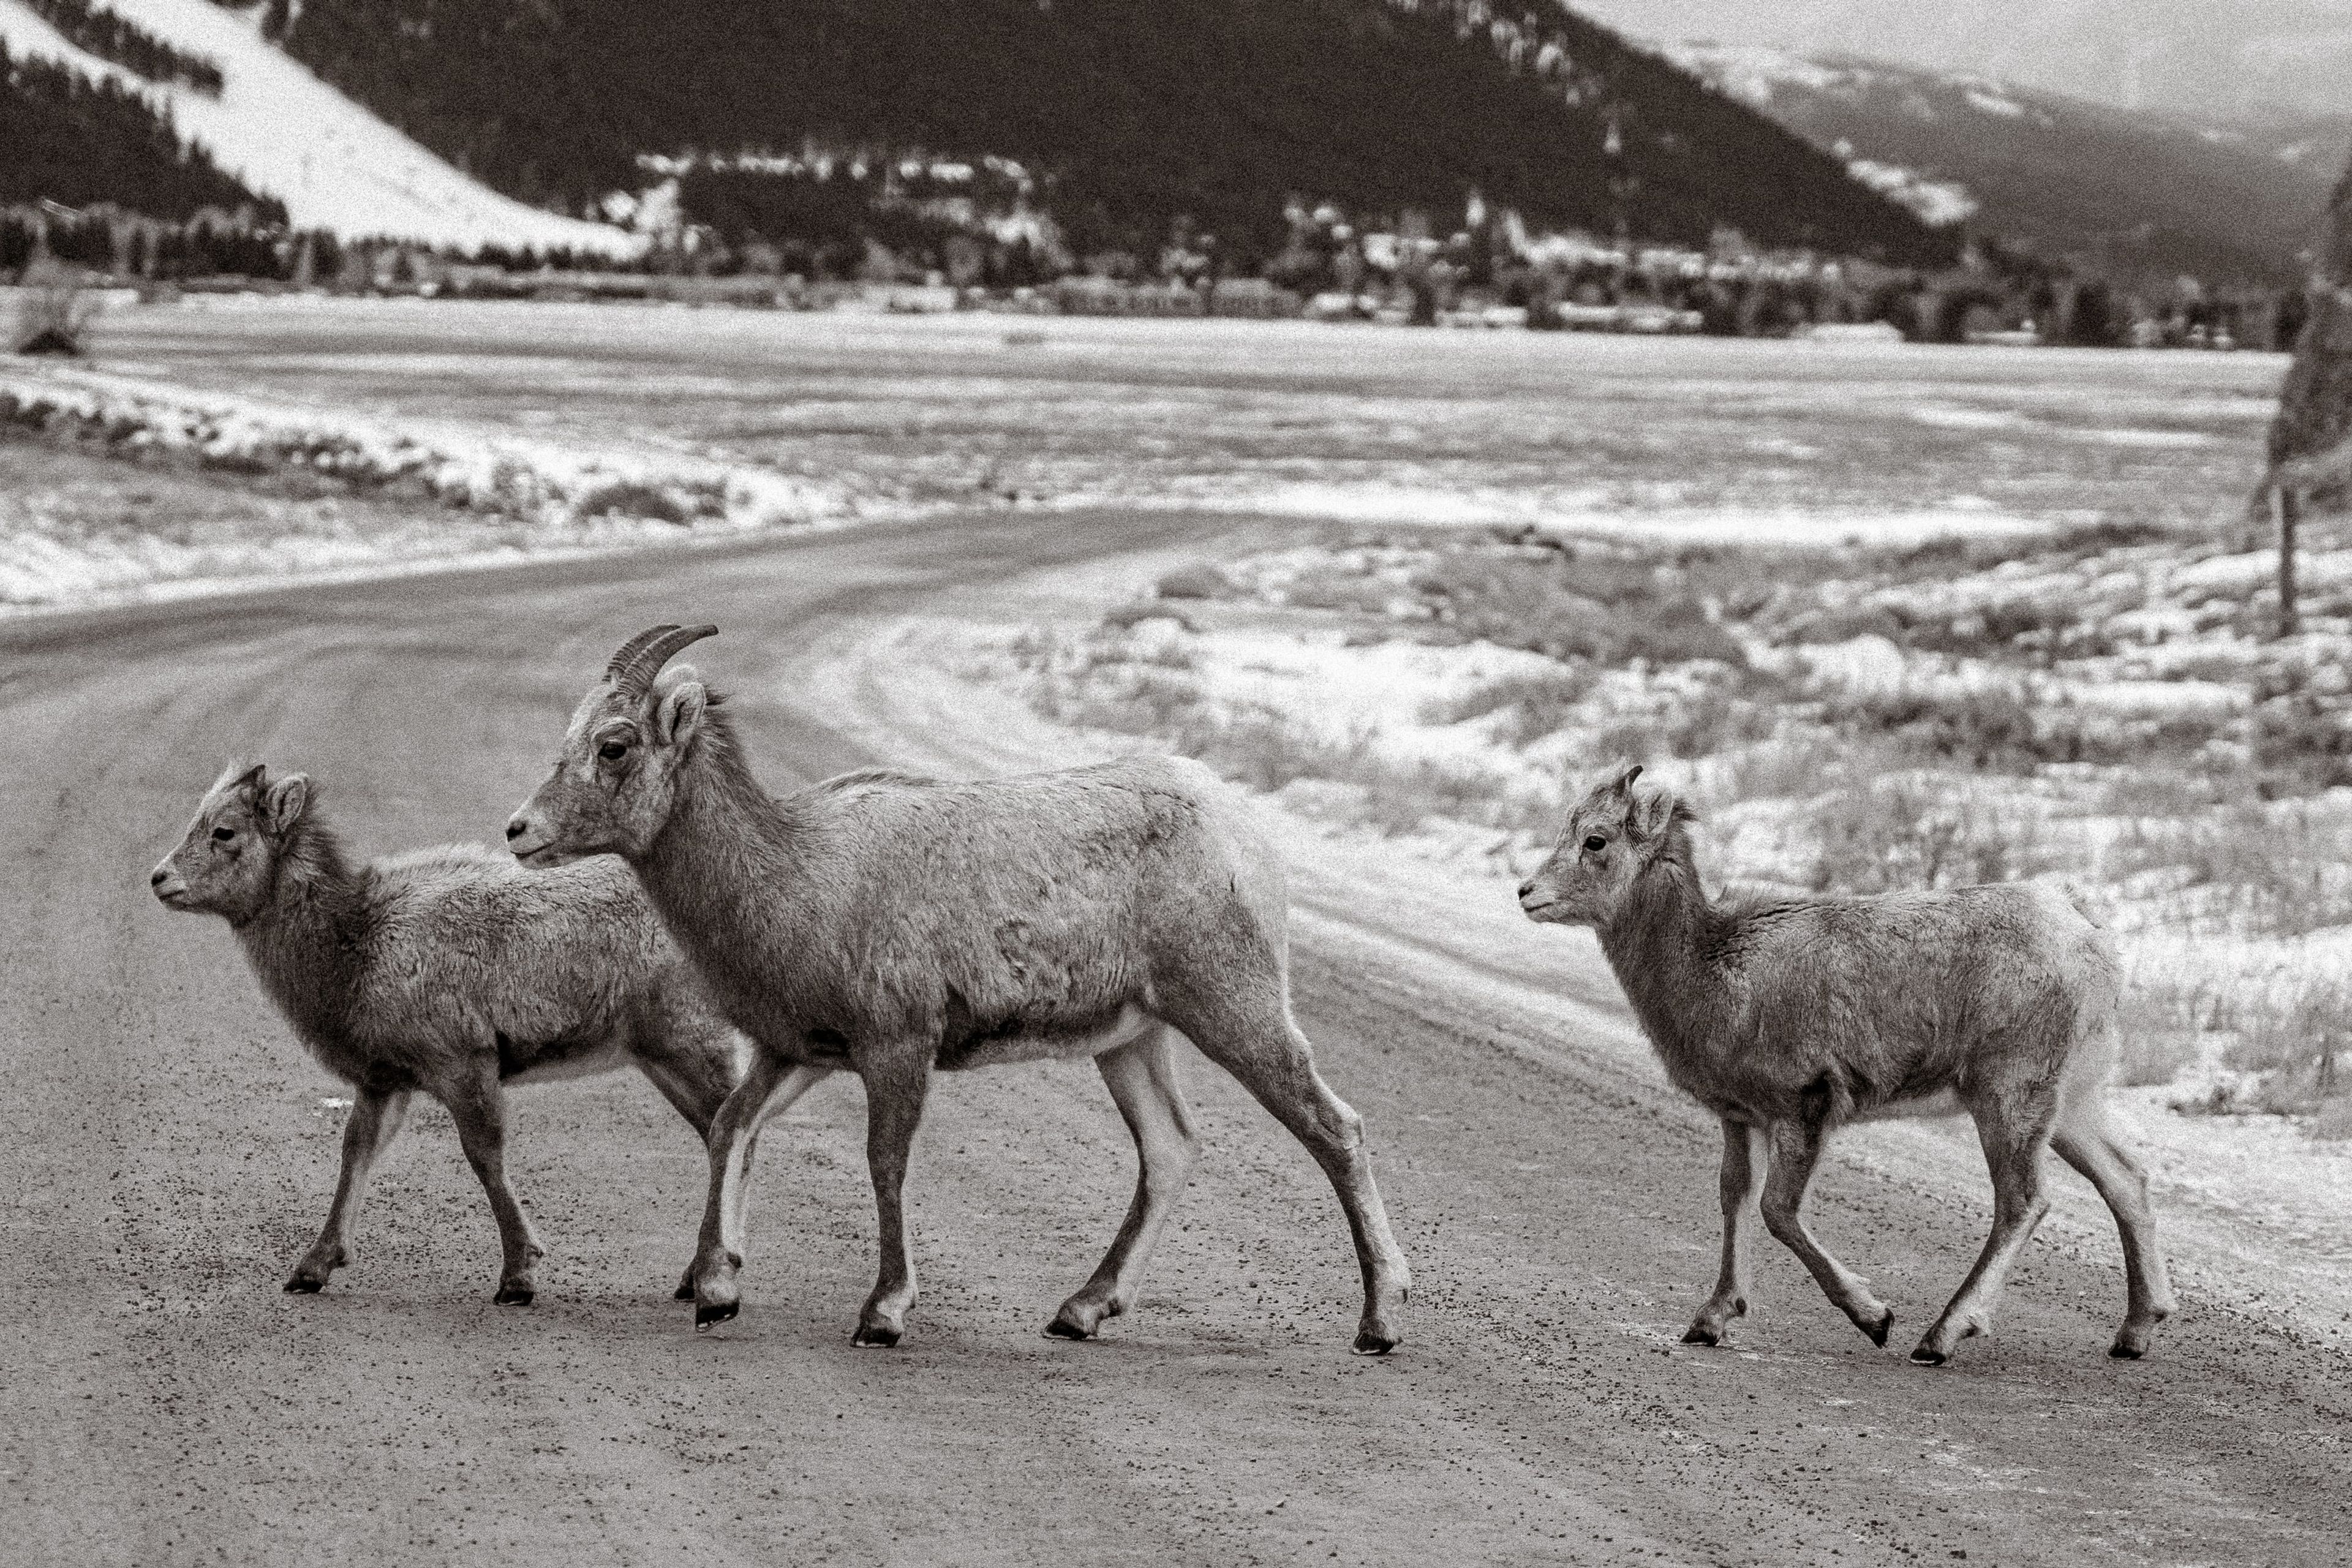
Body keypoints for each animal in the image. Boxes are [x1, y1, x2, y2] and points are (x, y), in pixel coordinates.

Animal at [150, 761, 761, 1305]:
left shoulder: (463, 1061)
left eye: (224, 830)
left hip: (689, 1041)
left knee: (729, 1131)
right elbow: (356, 1151)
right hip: (662, 1056)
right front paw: (311, 1270)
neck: (357, 950)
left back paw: (706, 1277)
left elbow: (484, 1155)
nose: (159, 879)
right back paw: (697, 1277)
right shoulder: (384, 1081)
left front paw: (518, 1279)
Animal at [503, 624, 1410, 1353]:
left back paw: (1380, 1323)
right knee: (1170, 1148)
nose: (520, 832)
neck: (797, 872)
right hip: (1132, 1040)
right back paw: (1079, 1312)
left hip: (1233, 1010)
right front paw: (716, 1294)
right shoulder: (799, 1054)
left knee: (1334, 1127)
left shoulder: (896, 1048)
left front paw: (882, 1315)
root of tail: (1241, 830)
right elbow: (732, 1129)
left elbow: (885, 1163)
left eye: (615, 745)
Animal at [1517, 765, 2173, 1365]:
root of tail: (2091, 941)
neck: (1716, 972)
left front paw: (1876, 1319)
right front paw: (1708, 1323)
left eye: (1596, 840)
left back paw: (1940, 1338)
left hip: (2009, 1094)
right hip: (2070, 1102)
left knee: (2023, 1200)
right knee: (2124, 1179)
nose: (1526, 892)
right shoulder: (1741, 1117)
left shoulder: (1806, 1106)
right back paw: (2135, 1333)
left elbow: (1777, 1211)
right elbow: (1734, 1198)